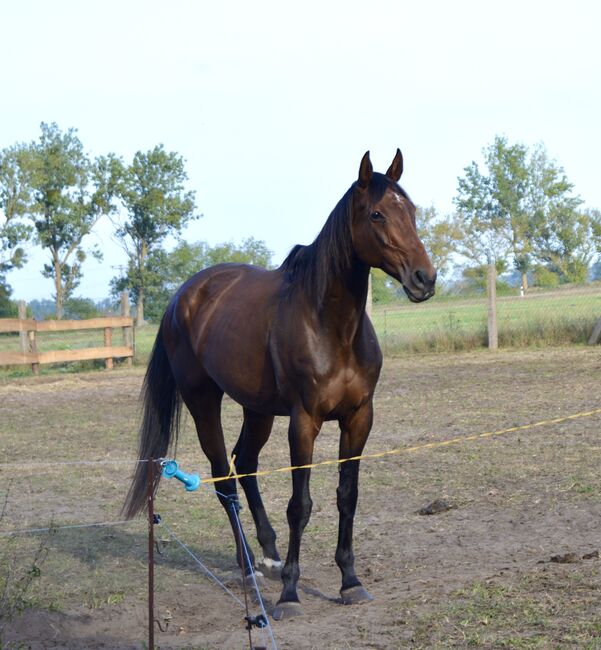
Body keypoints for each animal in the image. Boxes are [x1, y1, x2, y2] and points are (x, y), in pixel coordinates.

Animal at [124, 148, 436, 616]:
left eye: (412, 211)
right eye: (377, 213)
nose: (424, 278)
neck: (331, 325)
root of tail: (183, 296)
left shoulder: (359, 417)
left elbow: (347, 495)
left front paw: (350, 581)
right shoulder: (303, 421)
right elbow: (300, 505)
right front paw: (290, 591)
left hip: (258, 410)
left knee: (245, 463)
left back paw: (268, 556)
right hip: (203, 401)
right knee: (224, 477)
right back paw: (250, 568)